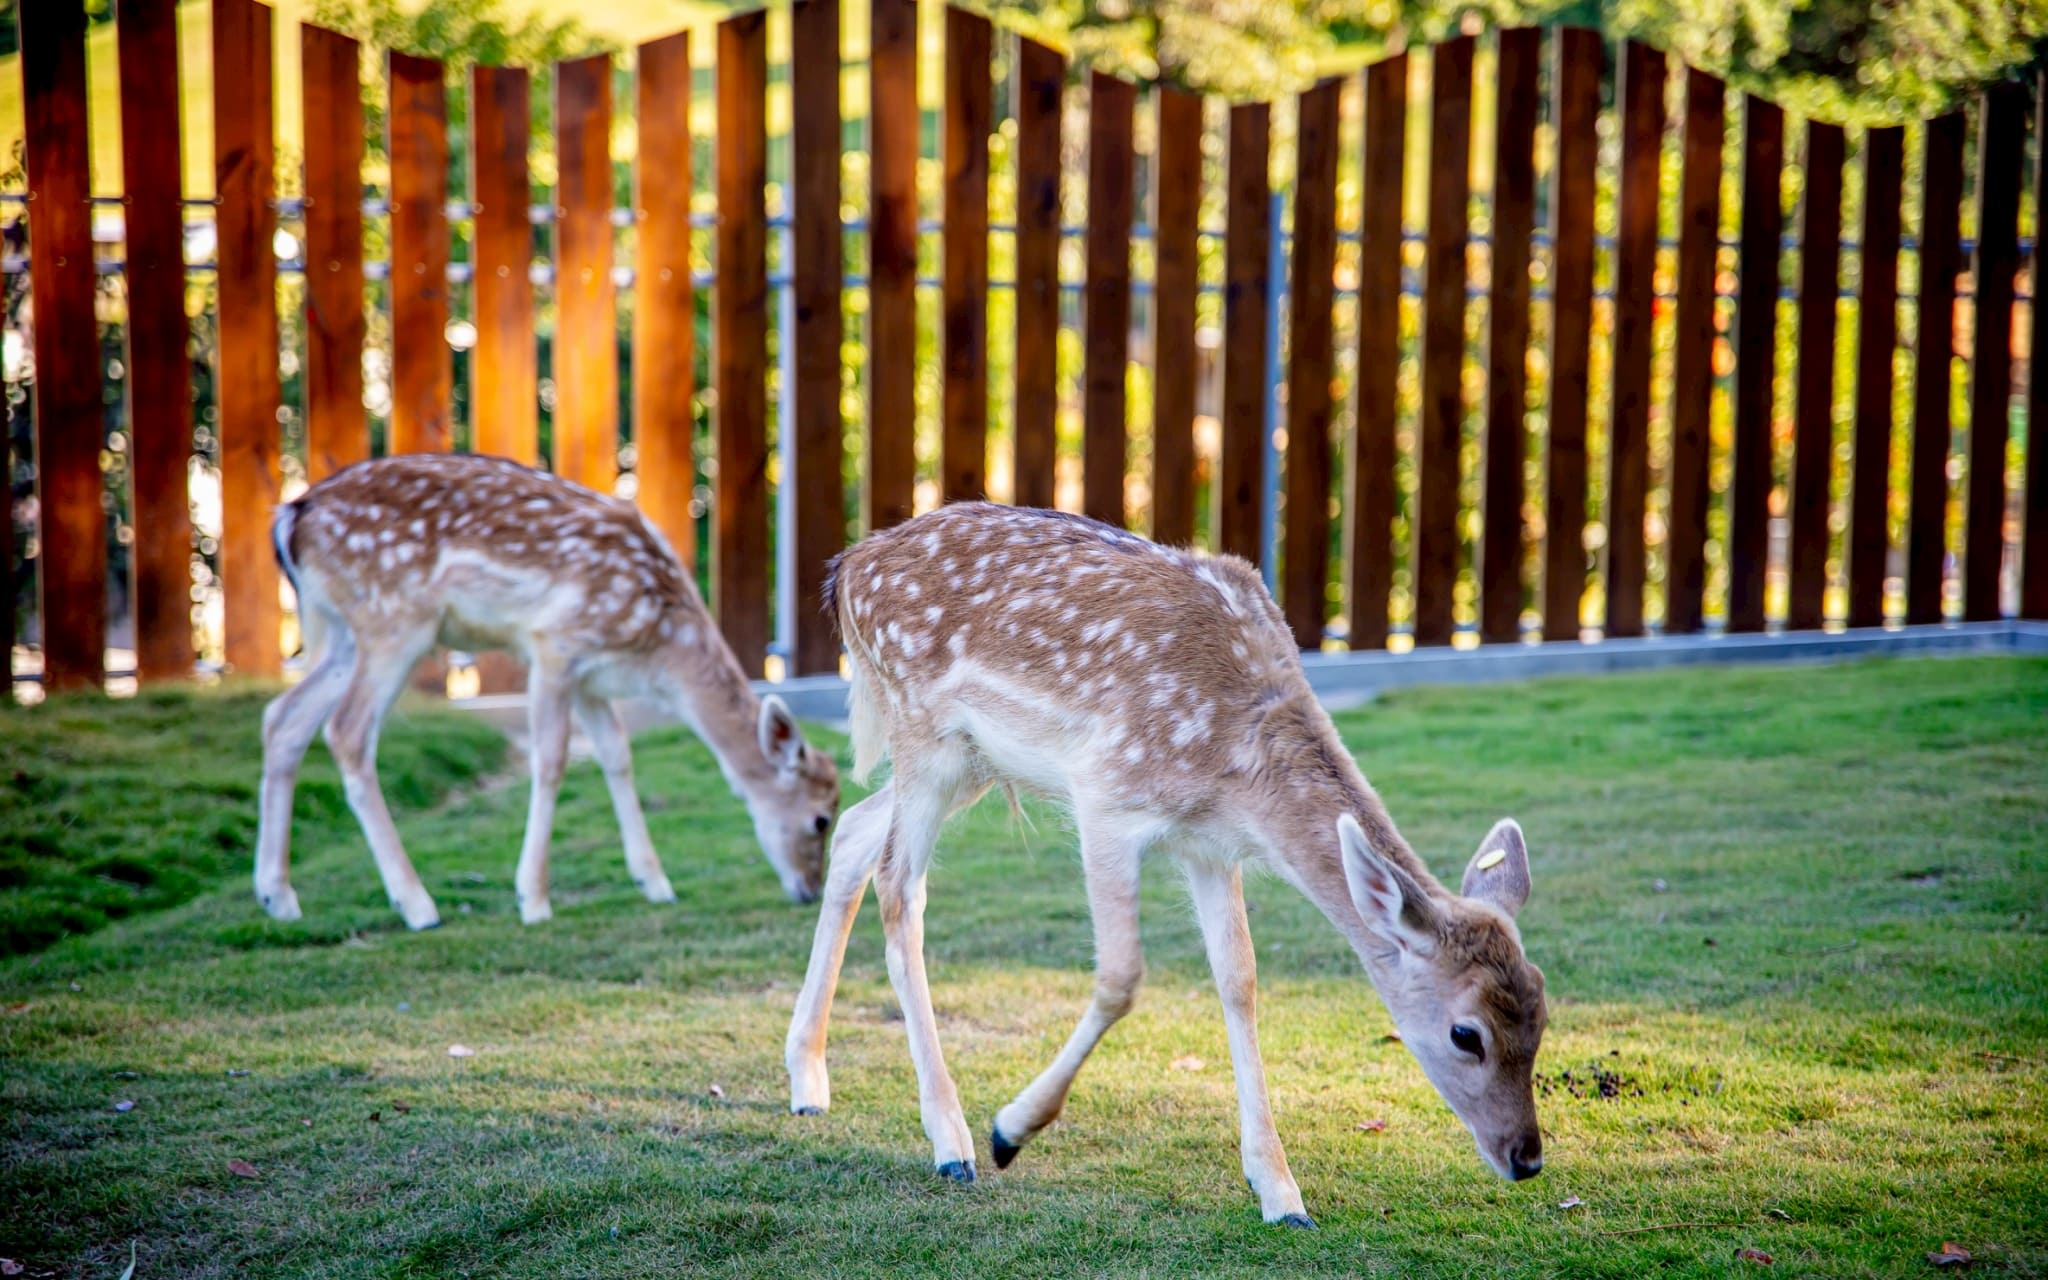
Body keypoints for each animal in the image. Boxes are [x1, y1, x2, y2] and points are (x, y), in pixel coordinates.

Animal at [254, 453, 841, 930]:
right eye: (820, 819)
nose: (809, 891)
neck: (657, 650)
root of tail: (291, 517)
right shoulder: (554, 645)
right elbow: (552, 759)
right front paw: (533, 900)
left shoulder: (592, 677)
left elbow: (617, 755)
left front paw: (655, 883)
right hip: (394, 618)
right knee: (346, 730)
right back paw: (417, 905)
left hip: (341, 632)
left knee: (283, 717)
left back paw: (278, 897)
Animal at [783, 502, 1547, 1226]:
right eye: (1466, 1034)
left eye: (1541, 1016)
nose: (1528, 1159)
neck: (1235, 764)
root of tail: (846, 568)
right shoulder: (1105, 799)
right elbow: (1122, 975)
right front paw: (1010, 1131)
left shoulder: (1209, 845)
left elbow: (1240, 980)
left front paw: (1280, 1193)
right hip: (925, 735)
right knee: (899, 887)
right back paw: (951, 1141)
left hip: (973, 761)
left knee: (854, 833)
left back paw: (807, 1081)